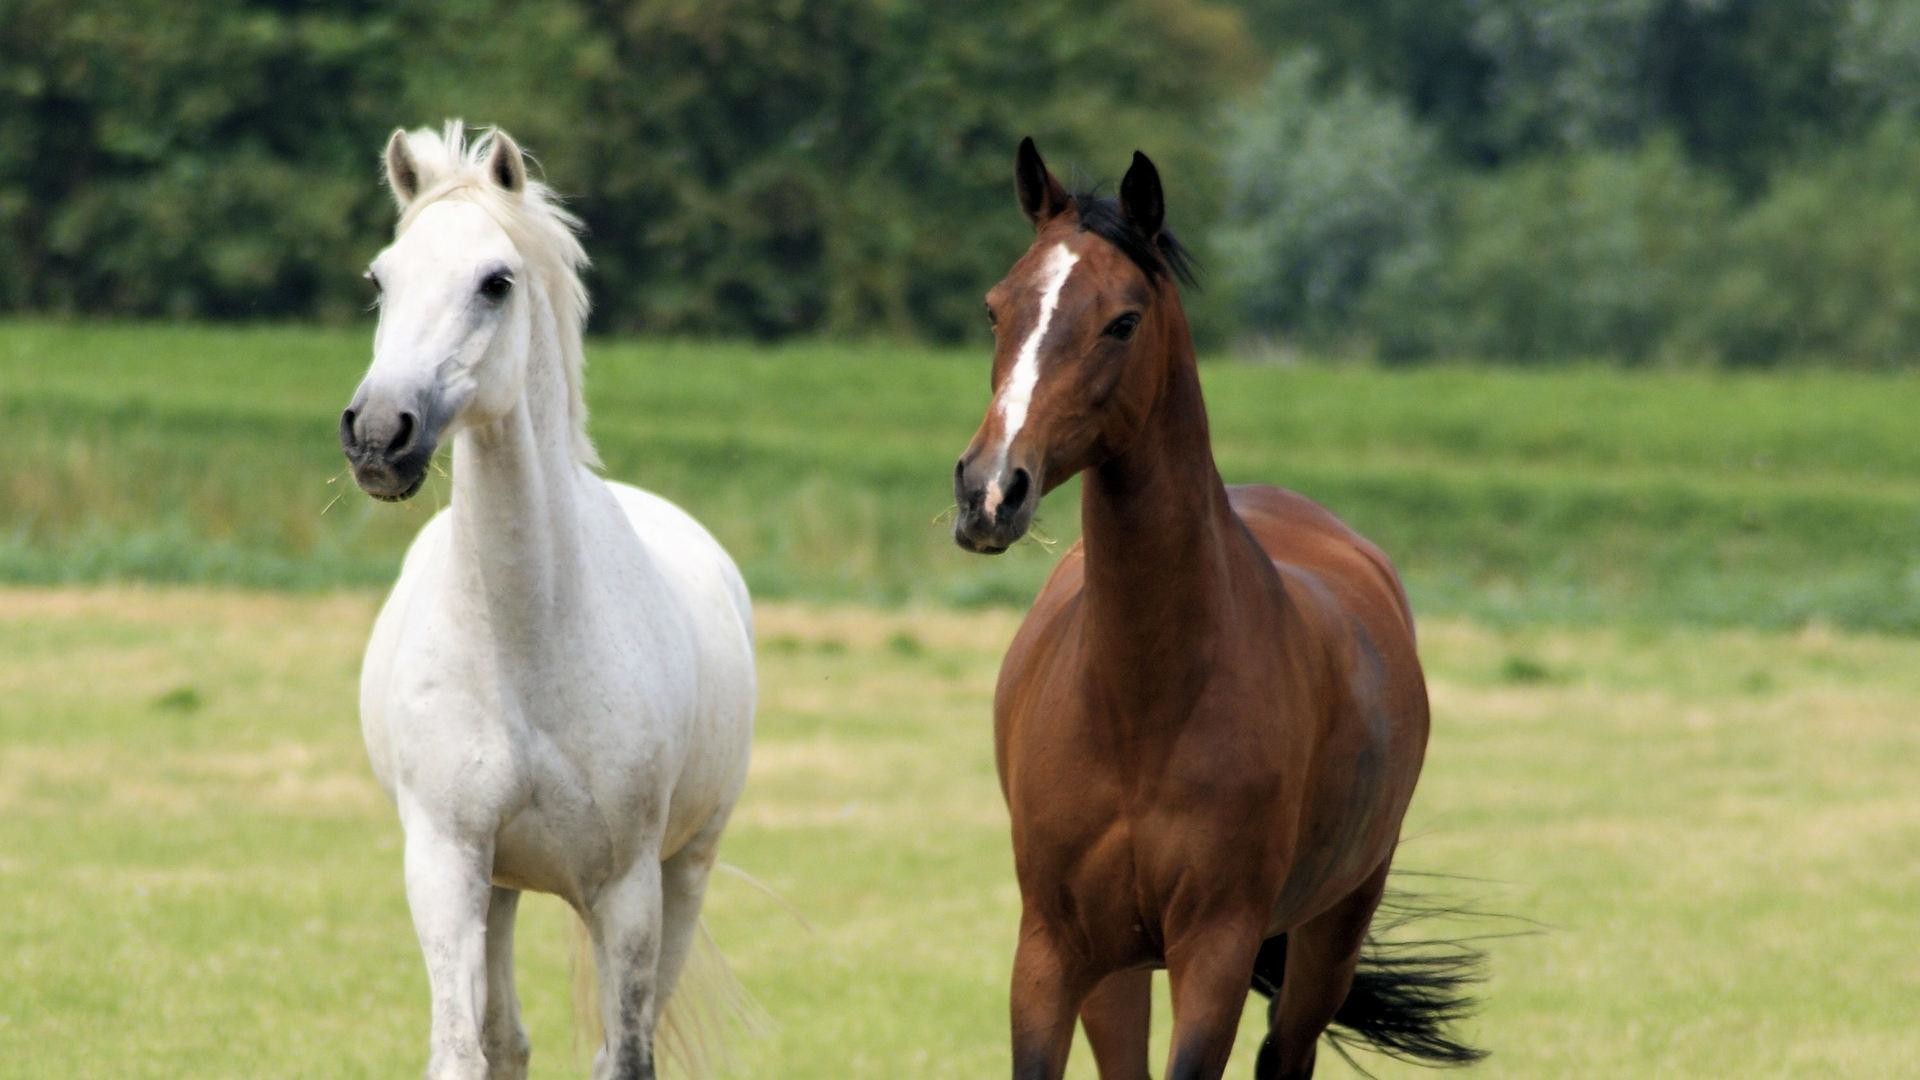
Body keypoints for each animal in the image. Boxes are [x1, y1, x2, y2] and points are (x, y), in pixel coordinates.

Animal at [339, 122, 756, 1080]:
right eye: (381, 279)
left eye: (496, 282)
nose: (379, 435)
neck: (525, 637)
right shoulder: (447, 864)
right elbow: (464, 1051)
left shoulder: (628, 888)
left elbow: (624, 1055)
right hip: (499, 886)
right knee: (505, 1040)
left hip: (685, 872)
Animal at [950, 138, 1485, 1080]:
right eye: (996, 308)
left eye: (1123, 321)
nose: (989, 493)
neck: (1143, 702)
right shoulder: (1052, 951)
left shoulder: (1216, 952)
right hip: (1119, 968)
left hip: (1333, 926)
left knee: (1288, 1050)